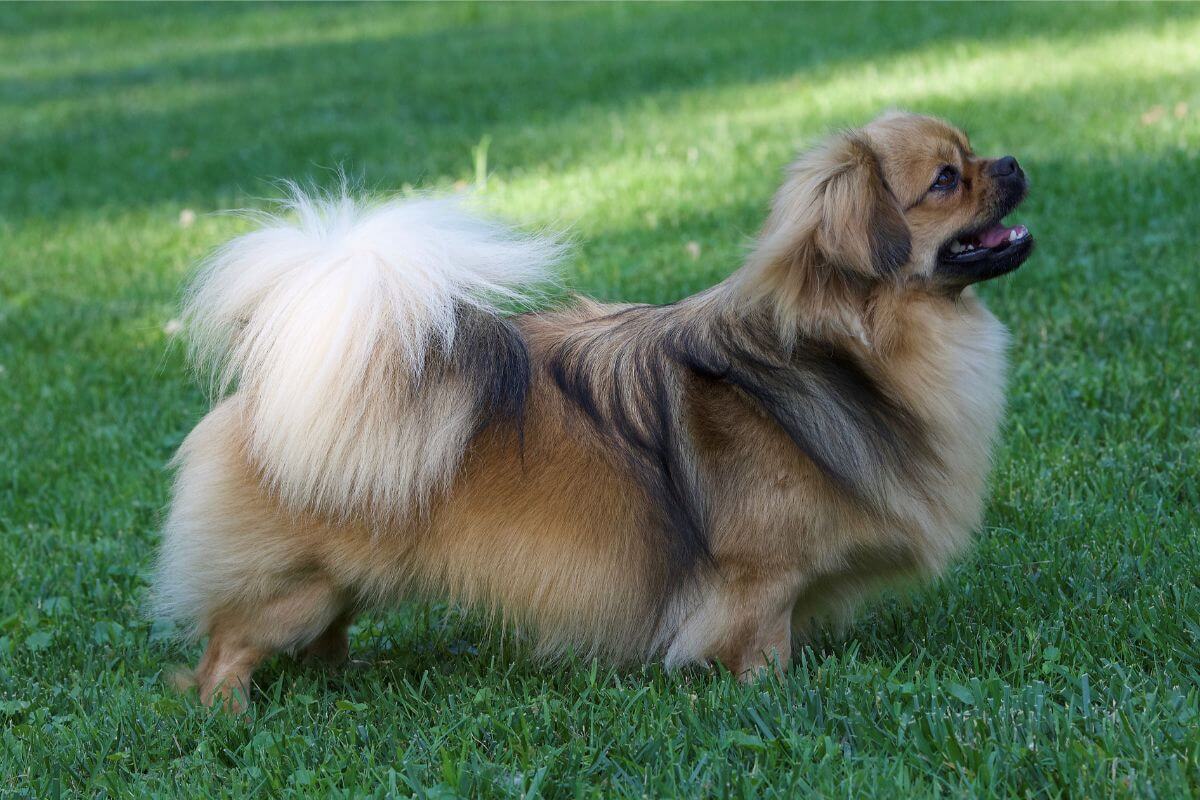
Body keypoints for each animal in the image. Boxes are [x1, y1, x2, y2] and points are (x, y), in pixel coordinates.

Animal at [152, 109, 1032, 710]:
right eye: (946, 179)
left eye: (973, 152)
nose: (1015, 162)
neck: (845, 350)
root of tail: (278, 370)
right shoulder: (759, 581)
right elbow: (761, 645)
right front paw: (773, 699)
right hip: (292, 588)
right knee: (228, 645)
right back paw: (229, 711)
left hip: (340, 576)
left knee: (323, 632)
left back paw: (341, 676)